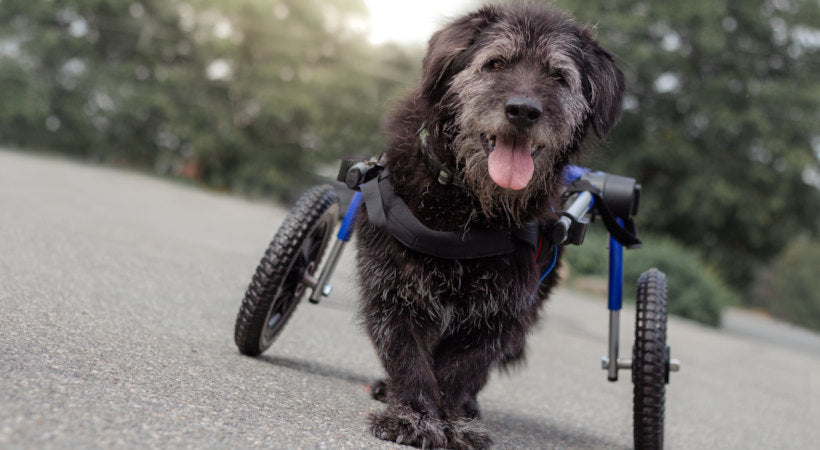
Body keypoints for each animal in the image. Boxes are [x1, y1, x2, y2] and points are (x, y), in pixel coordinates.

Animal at [350, 2, 620, 446]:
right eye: (496, 63)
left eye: (558, 76)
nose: (523, 110)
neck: (468, 205)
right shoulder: (392, 290)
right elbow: (409, 359)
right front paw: (414, 416)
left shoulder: (504, 311)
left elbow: (461, 369)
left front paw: (452, 421)